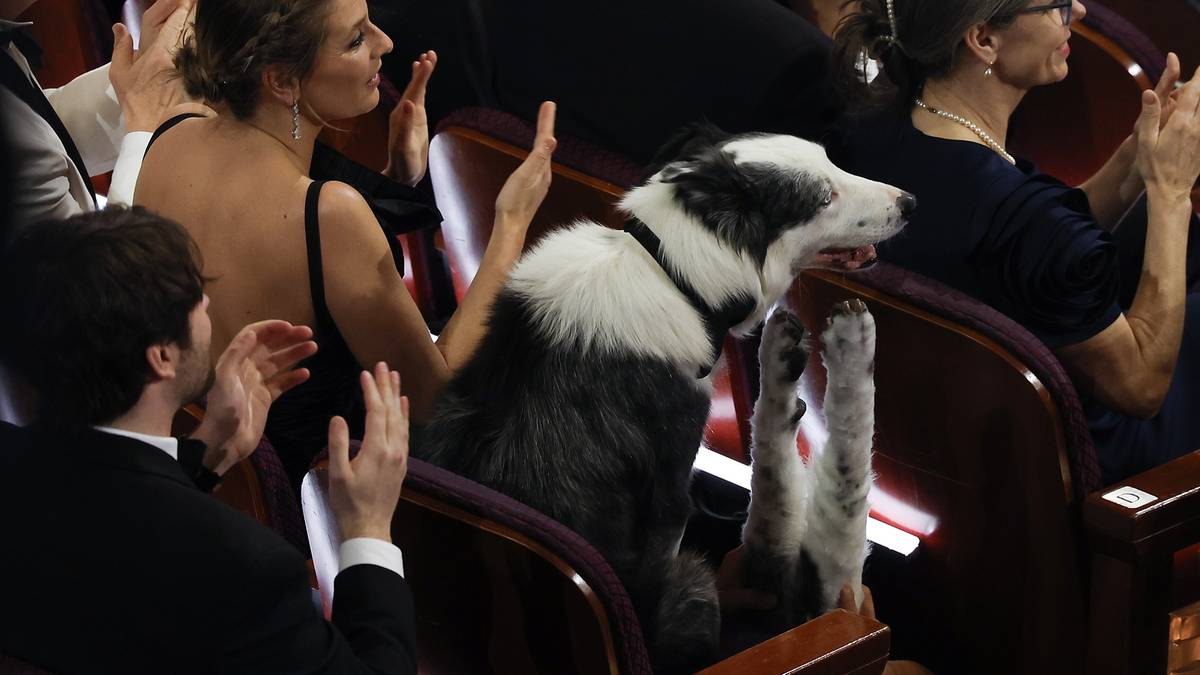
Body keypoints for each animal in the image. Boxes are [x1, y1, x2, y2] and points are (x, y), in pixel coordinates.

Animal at [417, 124, 912, 667]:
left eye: (832, 162)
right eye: (824, 197)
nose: (909, 202)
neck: (671, 274)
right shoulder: (672, 505)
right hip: (697, 586)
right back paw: (848, 348)